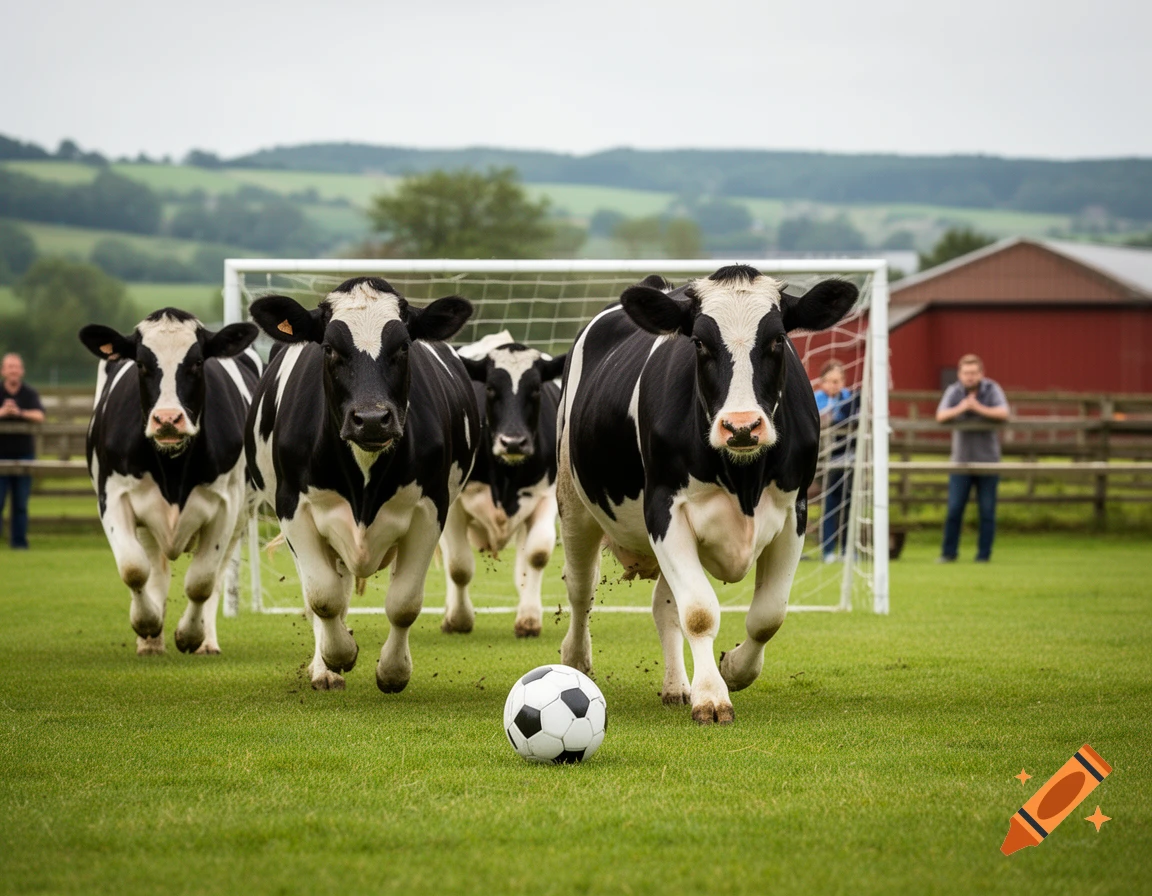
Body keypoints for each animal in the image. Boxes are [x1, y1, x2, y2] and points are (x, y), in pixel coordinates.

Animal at [78, 309, 260, 655]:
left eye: (198, 362)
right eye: (140, 363)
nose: (167, 419)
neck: (172, 467)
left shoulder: (226, 506)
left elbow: (202, 581)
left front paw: (190, 635)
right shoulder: (113, 497)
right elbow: (134, 569)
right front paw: (147, 624)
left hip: (241, 518)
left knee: (218, 575)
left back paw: (207, 640)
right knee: (156, 572)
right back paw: (151, 642)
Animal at [245, 276, 479, 692]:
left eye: (404, 346)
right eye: (329, 349)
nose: (371, 419)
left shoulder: (430, 508)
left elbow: (404, 604)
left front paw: (393, 671)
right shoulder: (294, 508)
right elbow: (323, 597)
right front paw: (337, 657)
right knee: (327, 592)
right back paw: (325, 667)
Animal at [439, 342, 566, 637]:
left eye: (536, 388)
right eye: (489, 388)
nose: (514, 441)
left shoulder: (546, 495)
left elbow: (537, 555)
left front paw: (529, 619)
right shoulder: (453, 504)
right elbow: (458, 566)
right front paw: (459, 619)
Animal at [556, 266, 858, 724]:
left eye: (778, 339)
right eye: (699, 342)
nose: (741, 426)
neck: (743, 478)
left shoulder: (795, 512)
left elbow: (768, 615)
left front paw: (732, 669)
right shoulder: (666, 509)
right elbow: (698, 613)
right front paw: (712, 698)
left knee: (664, 607)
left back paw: (676, 686)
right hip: (573, 502)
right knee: (580, 588)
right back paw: (574, 661)